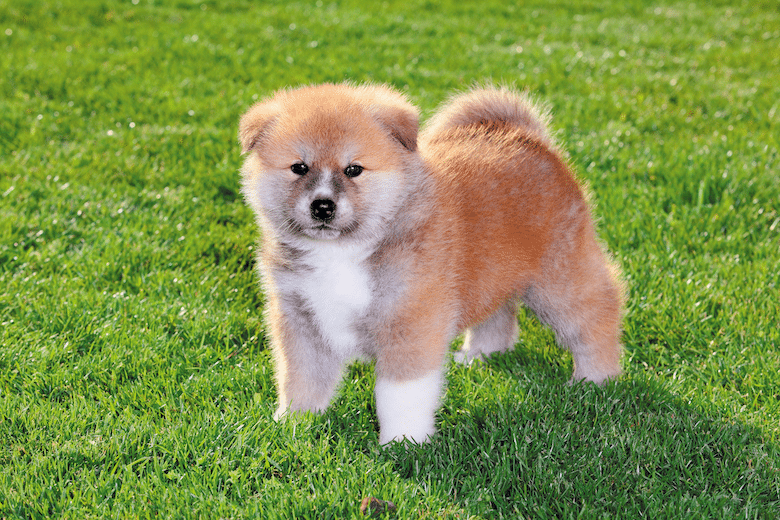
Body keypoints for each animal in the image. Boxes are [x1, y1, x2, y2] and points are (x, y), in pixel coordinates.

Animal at [238, 83, 620, 444]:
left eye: (353, 169)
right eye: (299, 167)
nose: (322, 206)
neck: (343, 252)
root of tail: (526, 137)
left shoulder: (410, 320)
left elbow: (399, 395)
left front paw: (402, 442)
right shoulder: (302, 321)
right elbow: (300, 379)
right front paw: (294, 424)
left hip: (559, 278)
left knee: (597, 312)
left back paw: (595, 379)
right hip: (493, 274)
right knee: (499, 313)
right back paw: (480, 354)